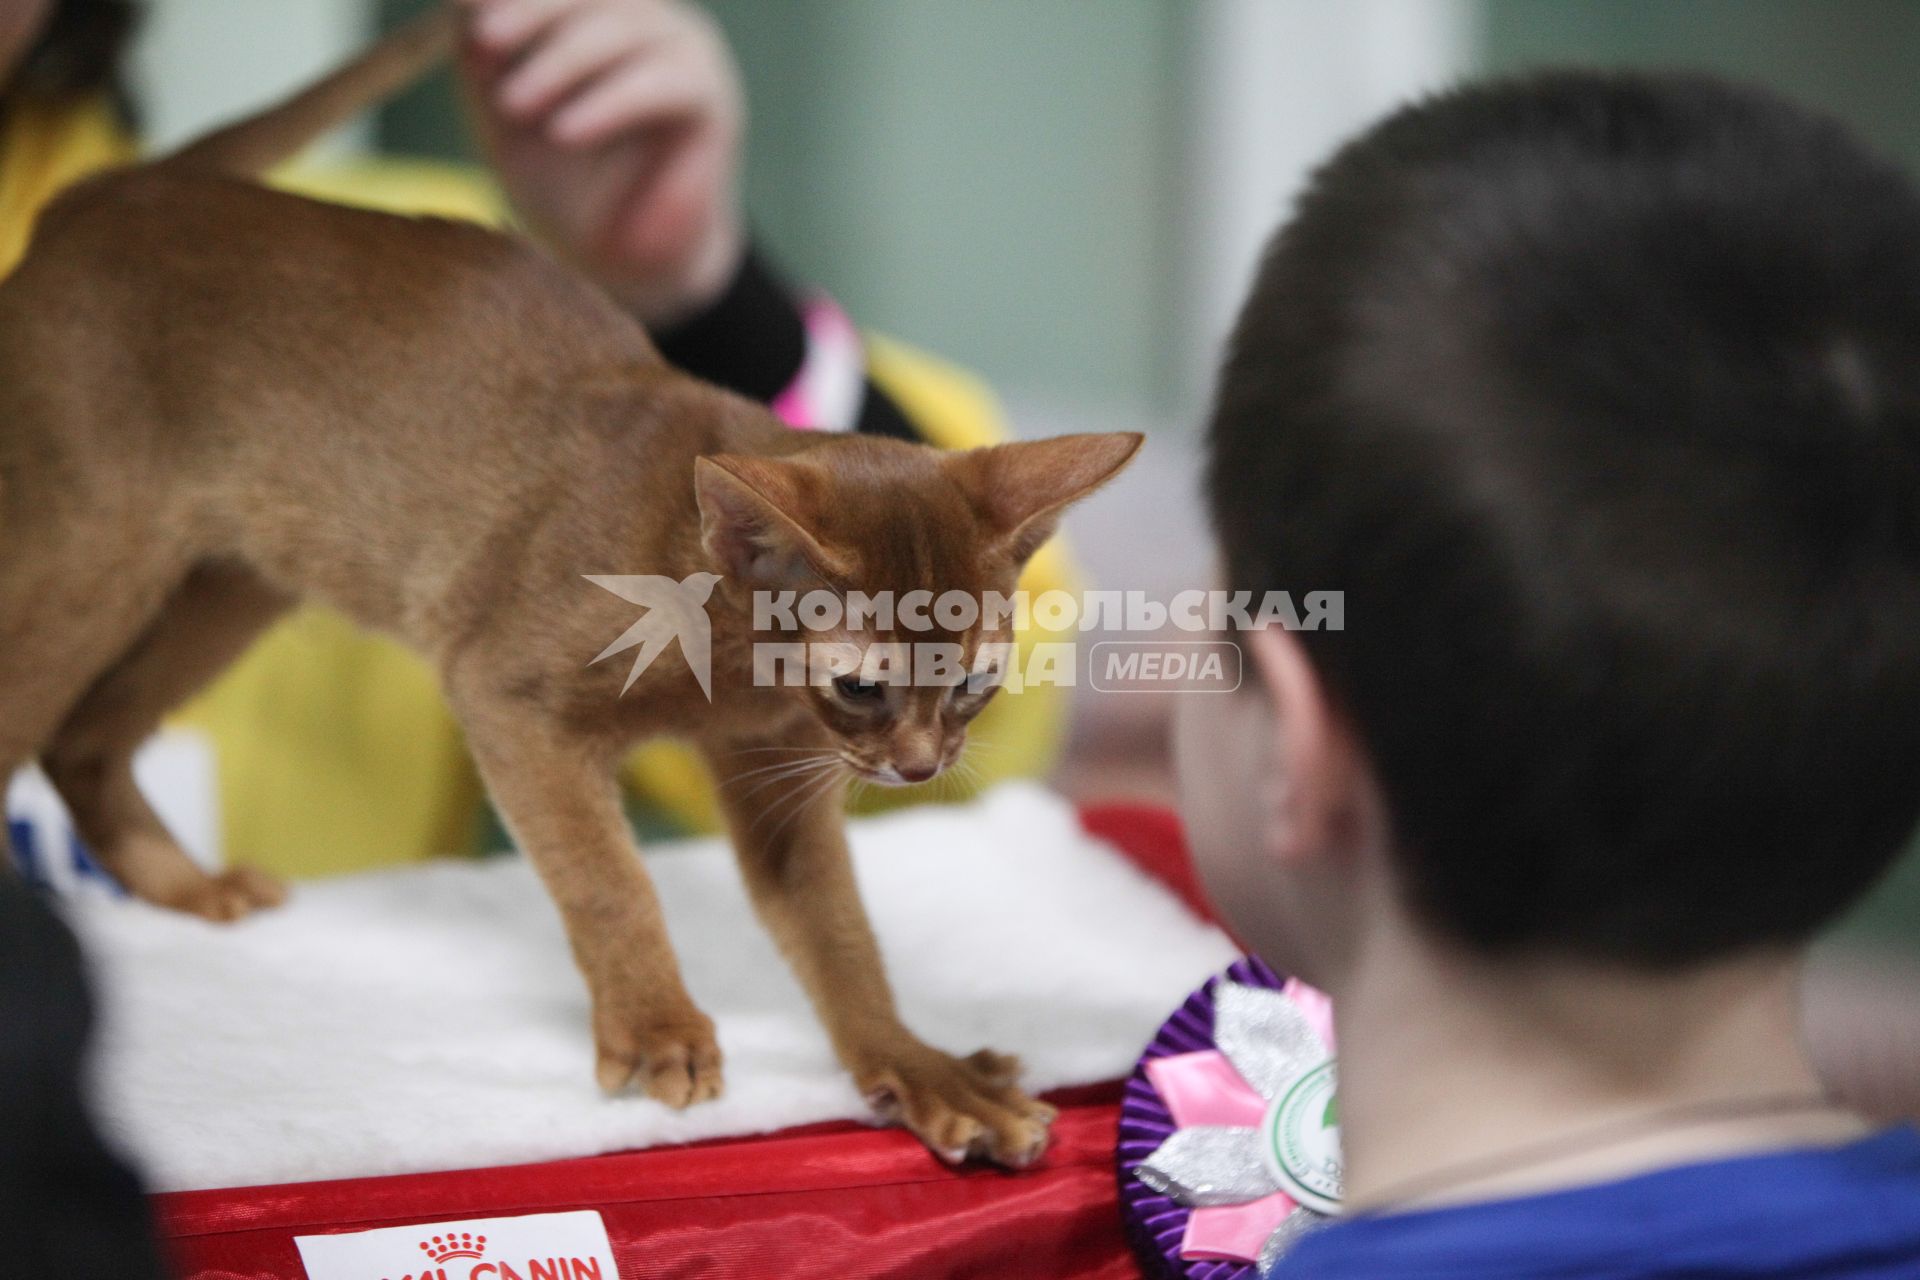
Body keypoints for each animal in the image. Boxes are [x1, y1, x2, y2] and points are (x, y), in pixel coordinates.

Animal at [0, 12, 1136, 1174]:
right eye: (863, 686)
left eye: (977, 686)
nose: (918, 769)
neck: (723, 652)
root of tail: (121, 187)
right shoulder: (507, 696)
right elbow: (609, 877)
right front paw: (657, 1028)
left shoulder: (776, 769)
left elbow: (841, 936)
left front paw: (920, 1067)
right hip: (85, 555)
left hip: (233, 581)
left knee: (83, 740)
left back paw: (183, 888)